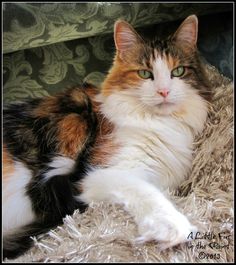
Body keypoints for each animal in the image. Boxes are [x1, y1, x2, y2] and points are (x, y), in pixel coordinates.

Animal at [3, 14, 210, 258]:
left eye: (178, 71)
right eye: (145, 73)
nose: (164, 91)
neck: (160, 123)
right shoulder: (100, 174)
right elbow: (148, 193)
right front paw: (174, 228)